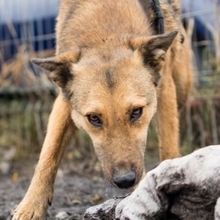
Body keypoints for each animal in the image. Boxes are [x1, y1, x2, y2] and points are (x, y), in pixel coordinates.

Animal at [12, 0, 192, 218]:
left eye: (136, 112)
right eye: (94, 118)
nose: (125, 180)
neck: (105, 32)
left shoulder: (164, 88)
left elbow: (168, 147)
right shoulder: (64, 101)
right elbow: (48, 153)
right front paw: (31, 205)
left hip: (182, 84)